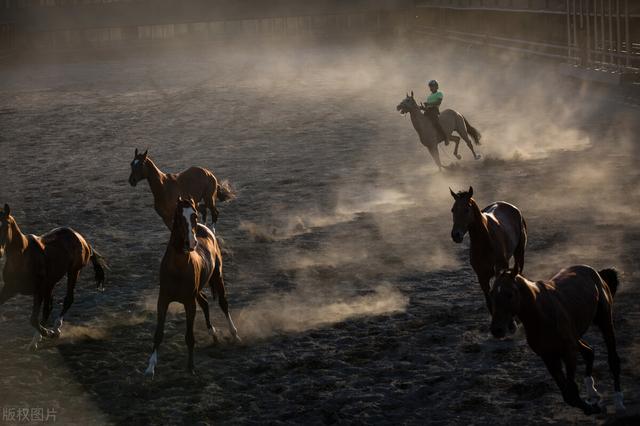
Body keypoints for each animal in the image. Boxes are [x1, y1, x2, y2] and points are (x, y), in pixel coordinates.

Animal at [0, 203, 106, 350]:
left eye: (6, 226)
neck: (22, 256)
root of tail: (80, 238)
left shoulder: (38, 291)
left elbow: (33, 319)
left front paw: (48, 333)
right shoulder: (10, 288)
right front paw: (43, 334)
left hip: (73, 272)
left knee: (67, 300)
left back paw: (54, 330)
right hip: (51, 284)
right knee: (48, 308)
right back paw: (37, 339)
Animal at [145, 196, 240, 376]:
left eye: (194, 216)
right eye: (179, 217)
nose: (191, 242)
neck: (177, 268)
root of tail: (206, 229)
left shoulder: (189, 303)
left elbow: (189, 336)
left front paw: (190, 367)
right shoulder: (163, 300)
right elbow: (158, 333)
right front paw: (150, 366)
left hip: (217, 277)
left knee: (223, 303)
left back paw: (234, 334)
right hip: (198, 290)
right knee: (205, 302)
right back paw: (213, 333)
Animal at [448, 186, 528, 320]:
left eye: (466, 209)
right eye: (453, 210)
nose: (456, 235)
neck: (486, 240)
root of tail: (511, 207)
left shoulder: (499, 269)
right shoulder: (481, 276)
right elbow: (489, 300)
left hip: (519, 253)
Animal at [490, 266, 624, 416]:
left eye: (510, 294)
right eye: (491, 294)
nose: (497, 329)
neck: (541, 315)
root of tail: (595, 272)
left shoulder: (568, 353)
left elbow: (571, 391)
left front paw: (595, 407)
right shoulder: (548, 356)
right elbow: (568, 395)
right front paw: (592, 406)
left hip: (605, 321)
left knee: (613, 360)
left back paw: (619, 402)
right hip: (575, 335)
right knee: (589, 352)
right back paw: (592, 393)